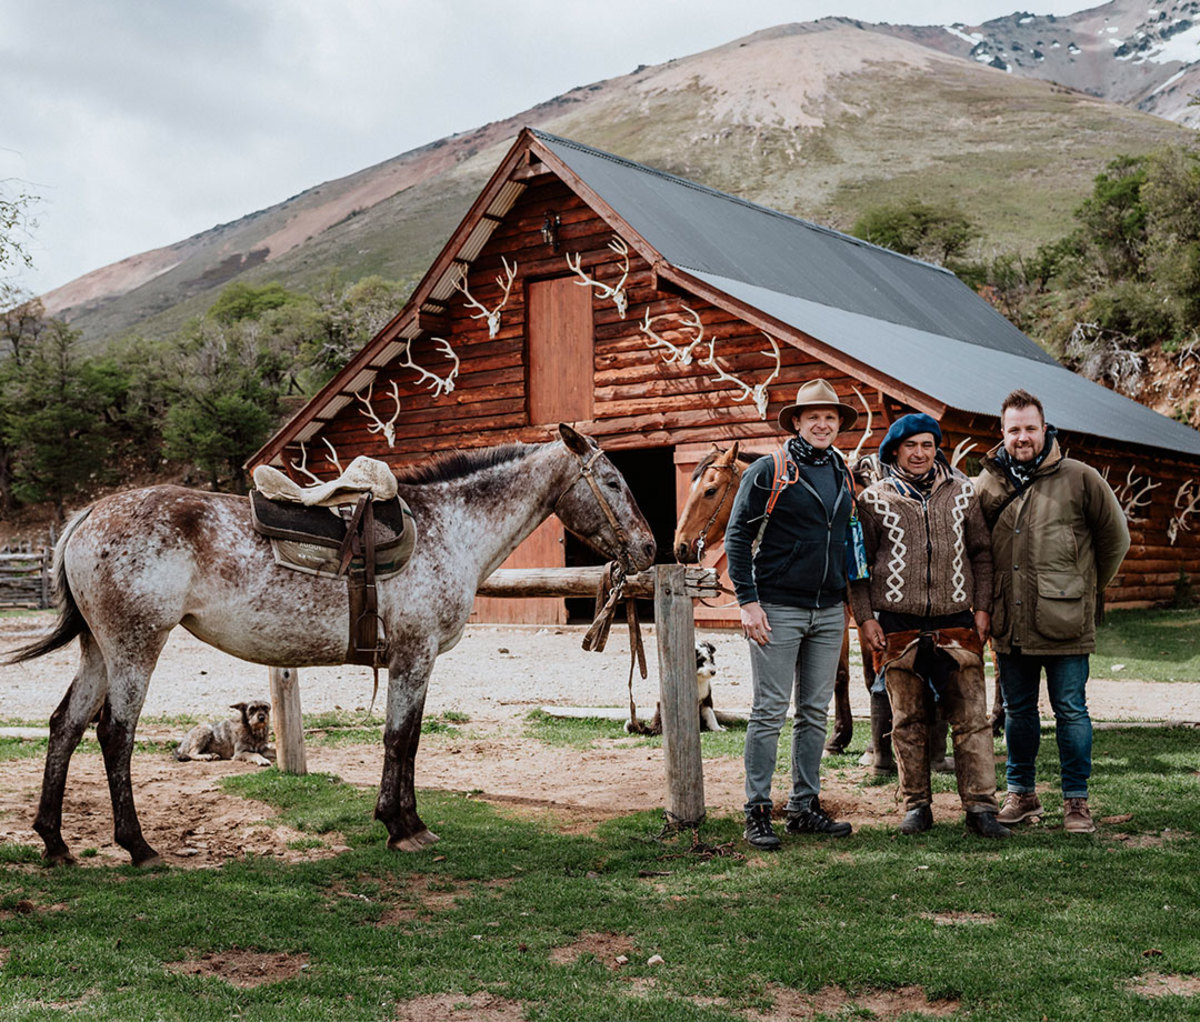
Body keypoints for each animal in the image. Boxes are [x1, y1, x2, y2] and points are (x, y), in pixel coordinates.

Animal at [7, 422, 657, 863]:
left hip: (99, 649)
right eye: (613, 480)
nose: (650, 549)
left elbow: (407, 742)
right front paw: (402, 827)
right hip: (134, 646)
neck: (449, 529)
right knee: (114, 734)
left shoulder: (413, 660)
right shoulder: (414, 655)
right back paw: (138, 847)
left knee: (65, 725)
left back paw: (55, 843)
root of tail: (87, 515)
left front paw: (404, 822)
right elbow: (400, 739)